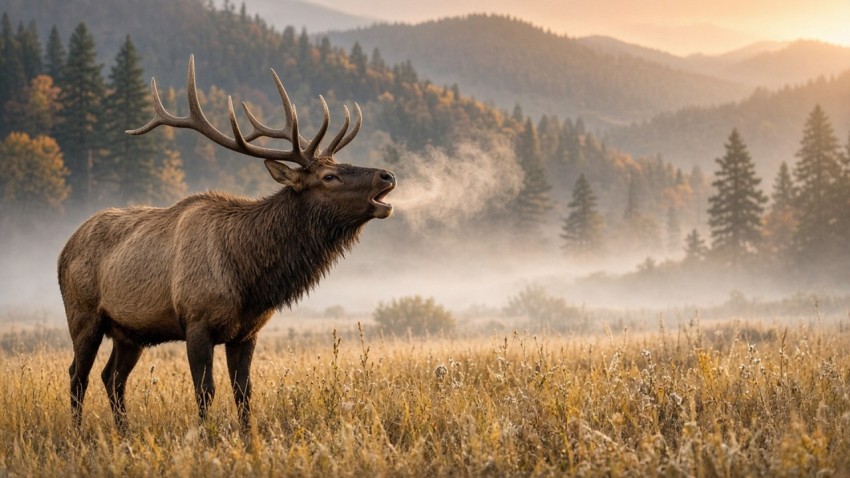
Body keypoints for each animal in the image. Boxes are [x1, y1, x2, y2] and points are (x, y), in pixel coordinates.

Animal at [57, 55, 395, 433]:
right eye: (329, 176)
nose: (387, 175)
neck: (249, 279)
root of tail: (64, 249)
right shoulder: (196, 321)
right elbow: (205, 390)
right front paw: (205, 437)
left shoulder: (246, 332)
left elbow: (243, 391)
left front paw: (248, 437)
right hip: (83, 313)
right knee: (78, 374)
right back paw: (77, 433)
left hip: (129, 332)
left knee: (112, 377)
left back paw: (124, 433)